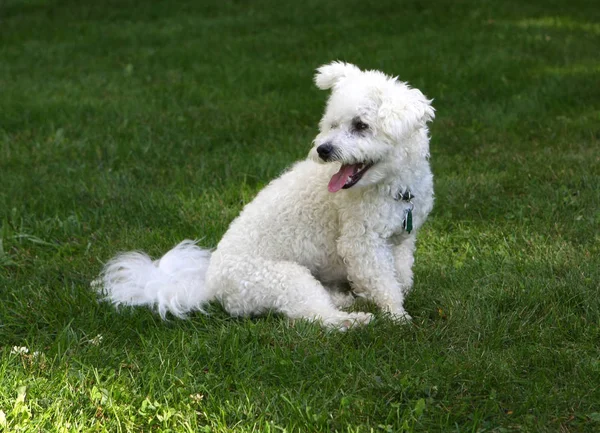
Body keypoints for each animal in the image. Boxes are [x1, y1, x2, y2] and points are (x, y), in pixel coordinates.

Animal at [99, 62, 436, 330]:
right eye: (331, 124)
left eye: (361, 126)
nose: (323, 149)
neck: (395, 186)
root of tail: (211, 286)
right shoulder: (362, 244)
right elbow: (383, 283)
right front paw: (397, 316)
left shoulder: (401, 239)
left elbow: (401, 276)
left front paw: (395, 298)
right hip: (285, 278)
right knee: (313, 316)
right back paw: (352, 320)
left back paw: (345, 299)